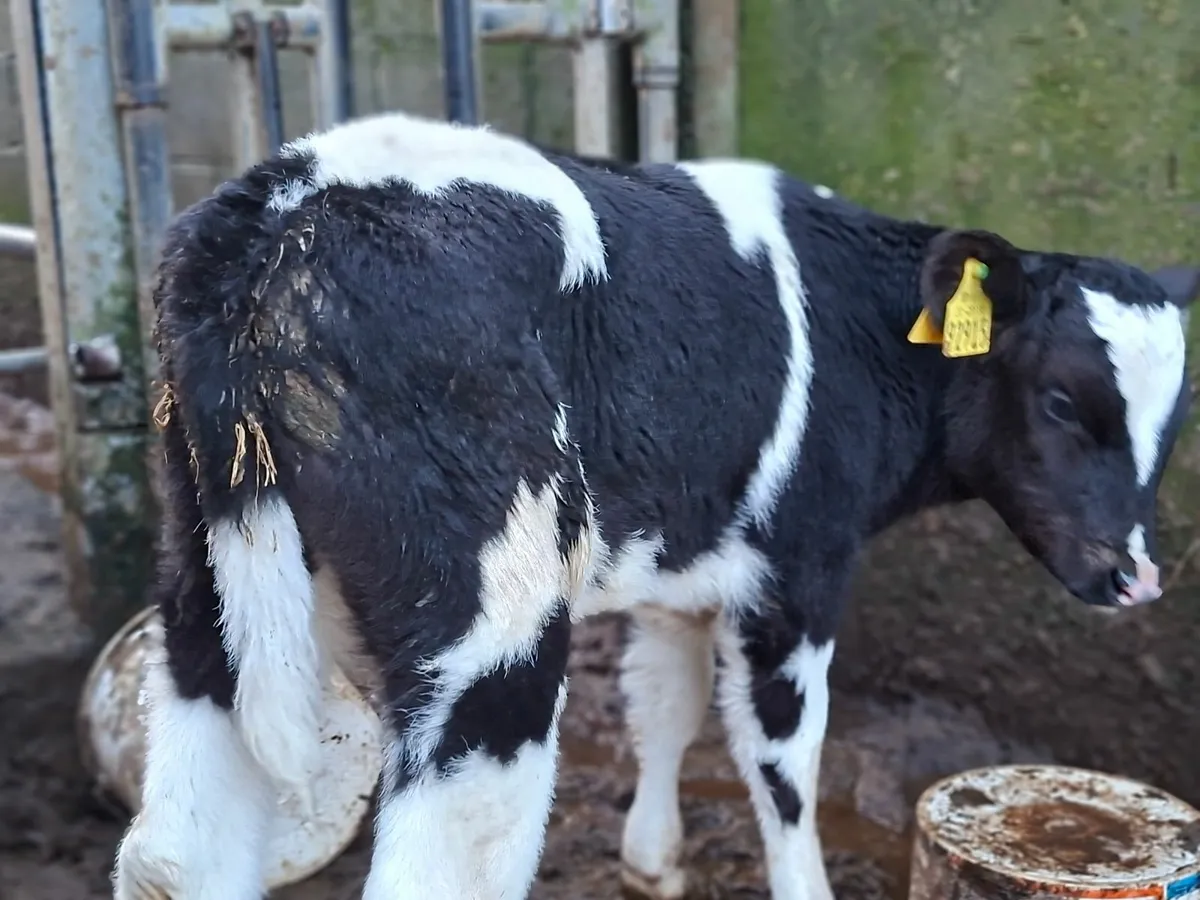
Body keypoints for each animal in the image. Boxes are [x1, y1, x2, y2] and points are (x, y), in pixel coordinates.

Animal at [111, 110, 1199, 900]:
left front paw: (652, 861)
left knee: (176, 855)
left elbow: (662, 706)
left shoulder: (688, 563)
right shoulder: (799, 573)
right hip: (494, 625)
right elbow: (782, 762)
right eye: (1061, 401)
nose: (1135, 575)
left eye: (1177, 418)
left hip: (204, 590)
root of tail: (279, 204)